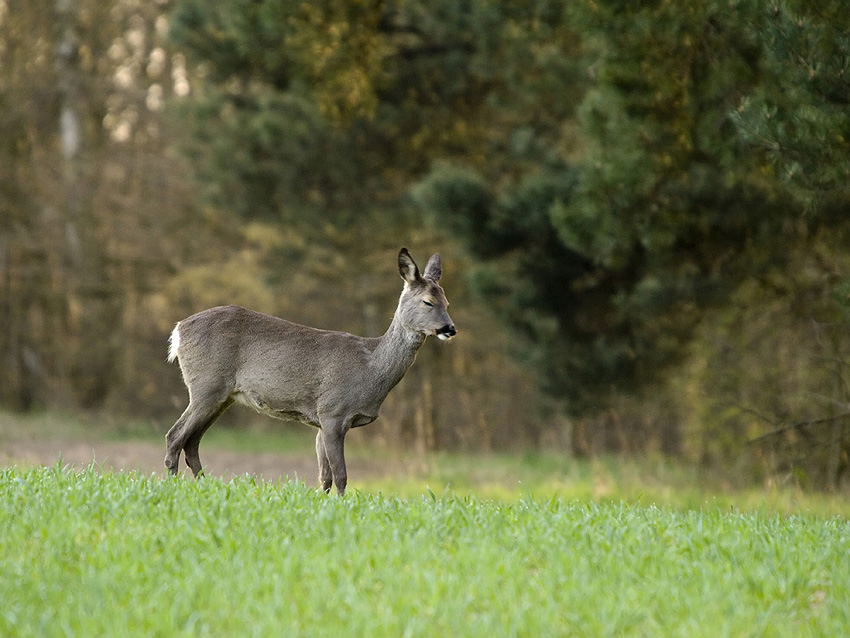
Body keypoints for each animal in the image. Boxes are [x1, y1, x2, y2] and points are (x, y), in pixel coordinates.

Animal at [167, 249, 458, 496]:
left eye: (447, 302)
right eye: (428, 302)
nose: (450, 328)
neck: (370, 368)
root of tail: (178, 330)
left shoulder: (321, 421)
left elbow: (324, 477)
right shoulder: (332, 411)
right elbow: (341, 475)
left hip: (223, 396)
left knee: (192, 441)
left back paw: (203, 486)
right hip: (206, 385)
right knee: (175, 436)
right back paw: (173, 486)